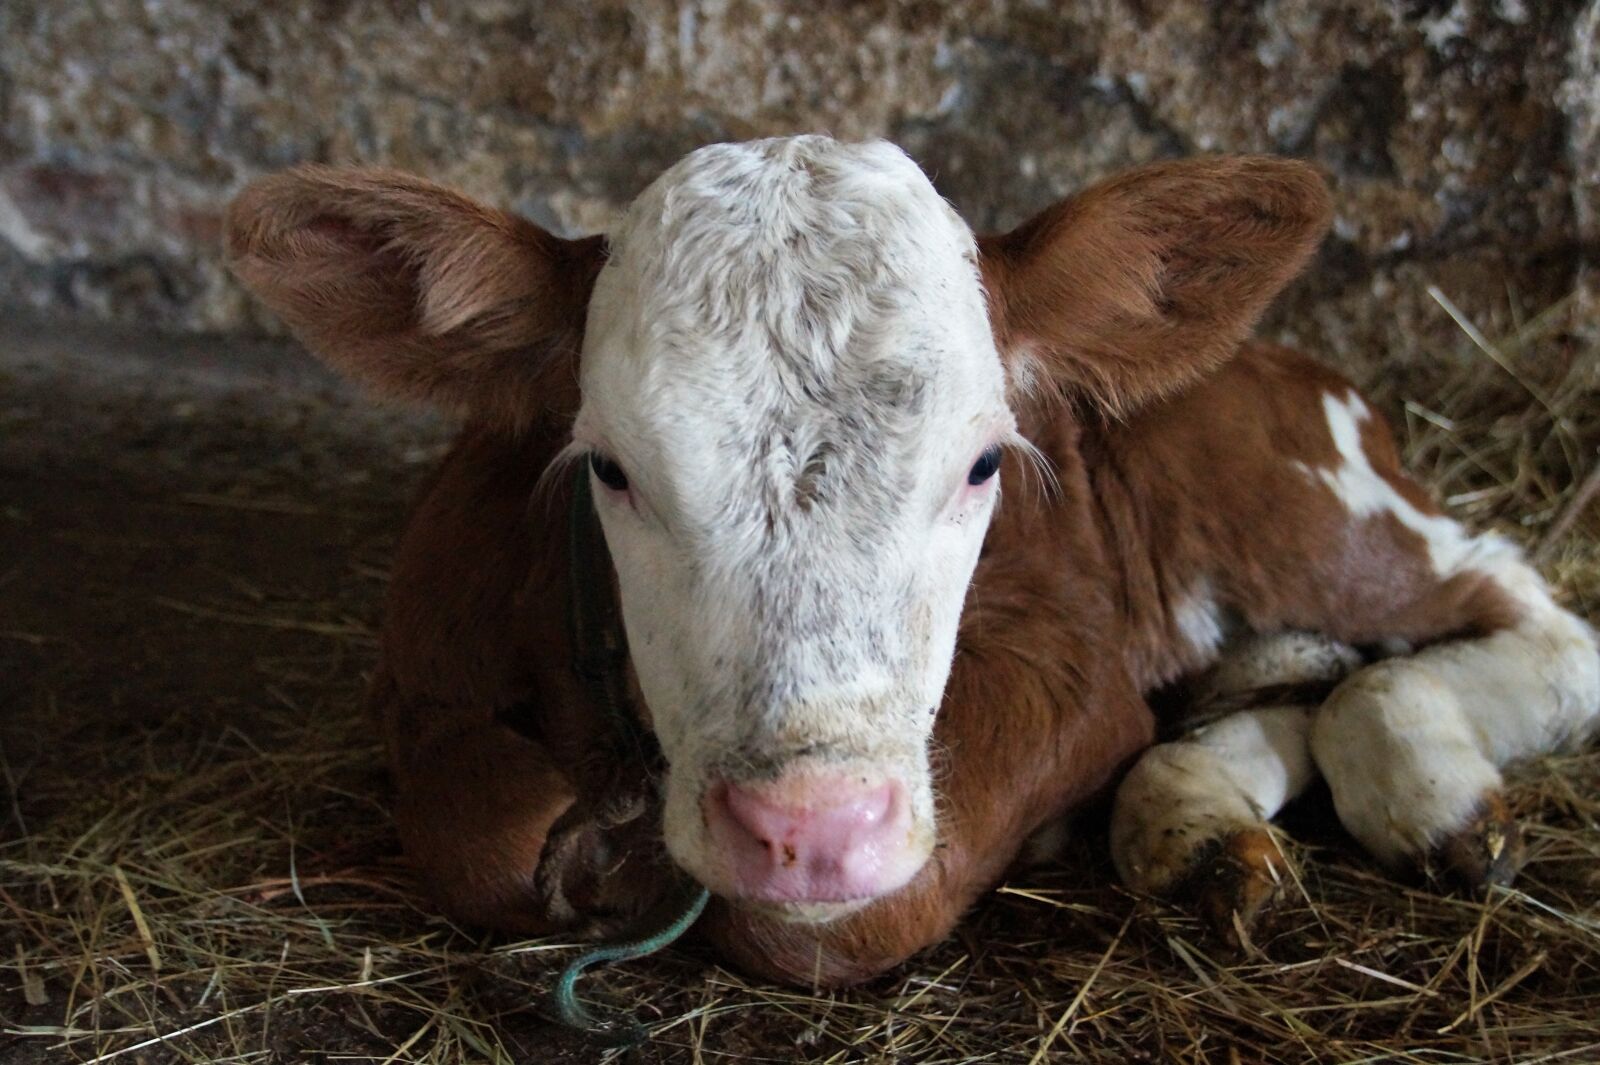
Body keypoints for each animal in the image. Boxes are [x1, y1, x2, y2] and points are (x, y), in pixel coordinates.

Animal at [225, 136, 1600, 987]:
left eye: (985, 462)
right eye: (609, 467)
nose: (809, 830)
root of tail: (1282, 354)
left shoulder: (1076, 672)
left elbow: (843, 922)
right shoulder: (420, 663)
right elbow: (488, 830)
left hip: (1293, 505)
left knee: (1515, 618)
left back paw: (1426, 781)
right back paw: (1203, 825)